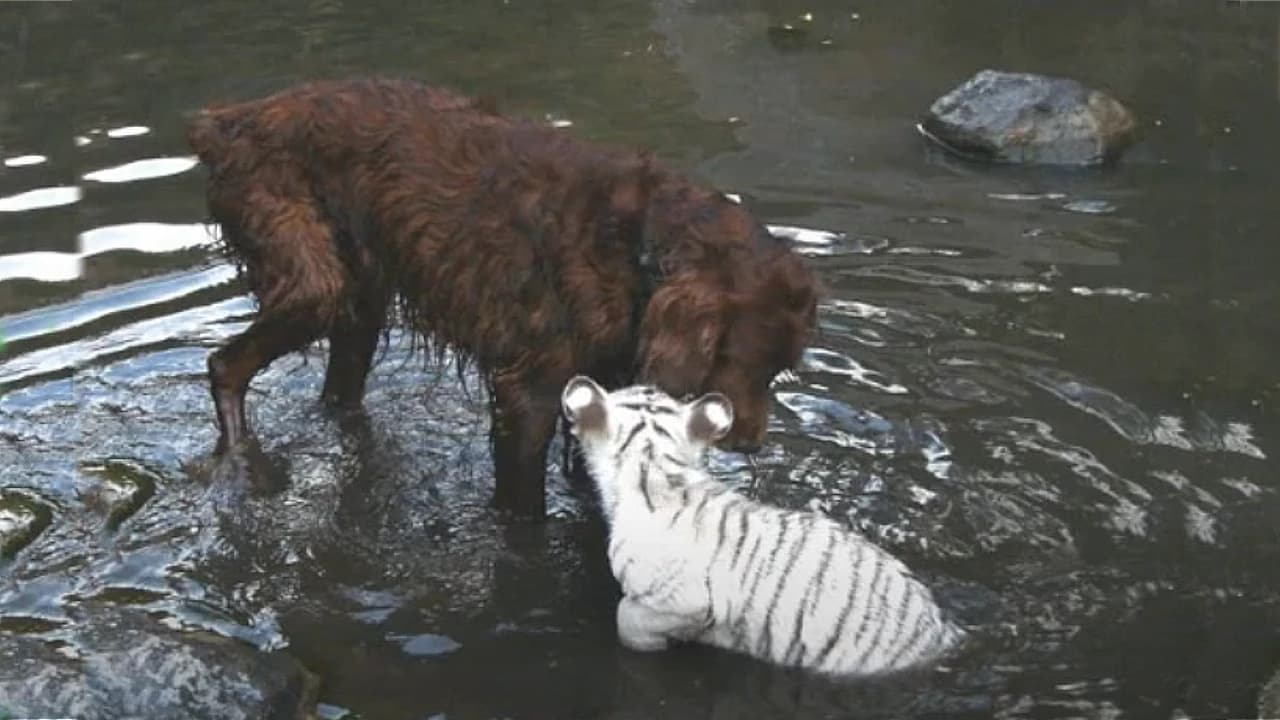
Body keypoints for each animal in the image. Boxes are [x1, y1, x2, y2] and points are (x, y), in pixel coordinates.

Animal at [185, 77, 814, 515]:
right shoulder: (527, 394)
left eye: (778, 372)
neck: (640, 250)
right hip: (313, 277)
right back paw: (241, 466)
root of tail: (229, 122)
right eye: (743, 362)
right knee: (226, 366)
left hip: (359, 300)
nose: (754, 443)